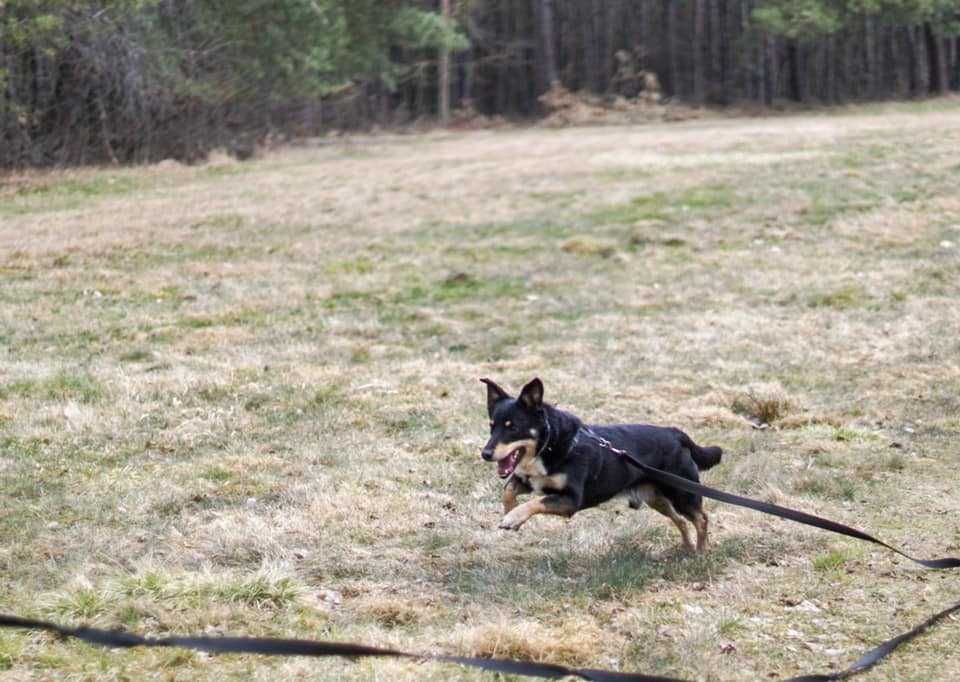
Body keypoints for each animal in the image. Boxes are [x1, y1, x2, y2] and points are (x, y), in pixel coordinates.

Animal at [484, 378, 724, 552]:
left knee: (701, 519)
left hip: (682, 492)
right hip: (655, 497)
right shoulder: (532, 481)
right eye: (492, 426)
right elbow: (508, 490)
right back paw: (688, 548)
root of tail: (675, 433)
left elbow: (536, 502)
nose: (485, 454)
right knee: (681, 521)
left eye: (513, 427)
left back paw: (701, 552)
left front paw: (513, 517)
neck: (551, 444)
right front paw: (511, 513)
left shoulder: (571, 499)